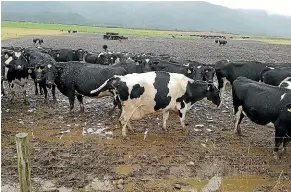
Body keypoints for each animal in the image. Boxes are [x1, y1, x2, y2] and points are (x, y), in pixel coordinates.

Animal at [90, 71, 221, 139]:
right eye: (216, 91)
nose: (220, 103)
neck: (189, 87)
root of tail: (120, 78)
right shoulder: (182, 107)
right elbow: (182, 120)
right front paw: (185, 130)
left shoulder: (167, 108)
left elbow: (165, 118)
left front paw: (164, 128)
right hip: (129, 107)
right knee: (123, 120)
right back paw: (124, 135)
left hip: (126, 108)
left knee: (125, 120)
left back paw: (131, 130)